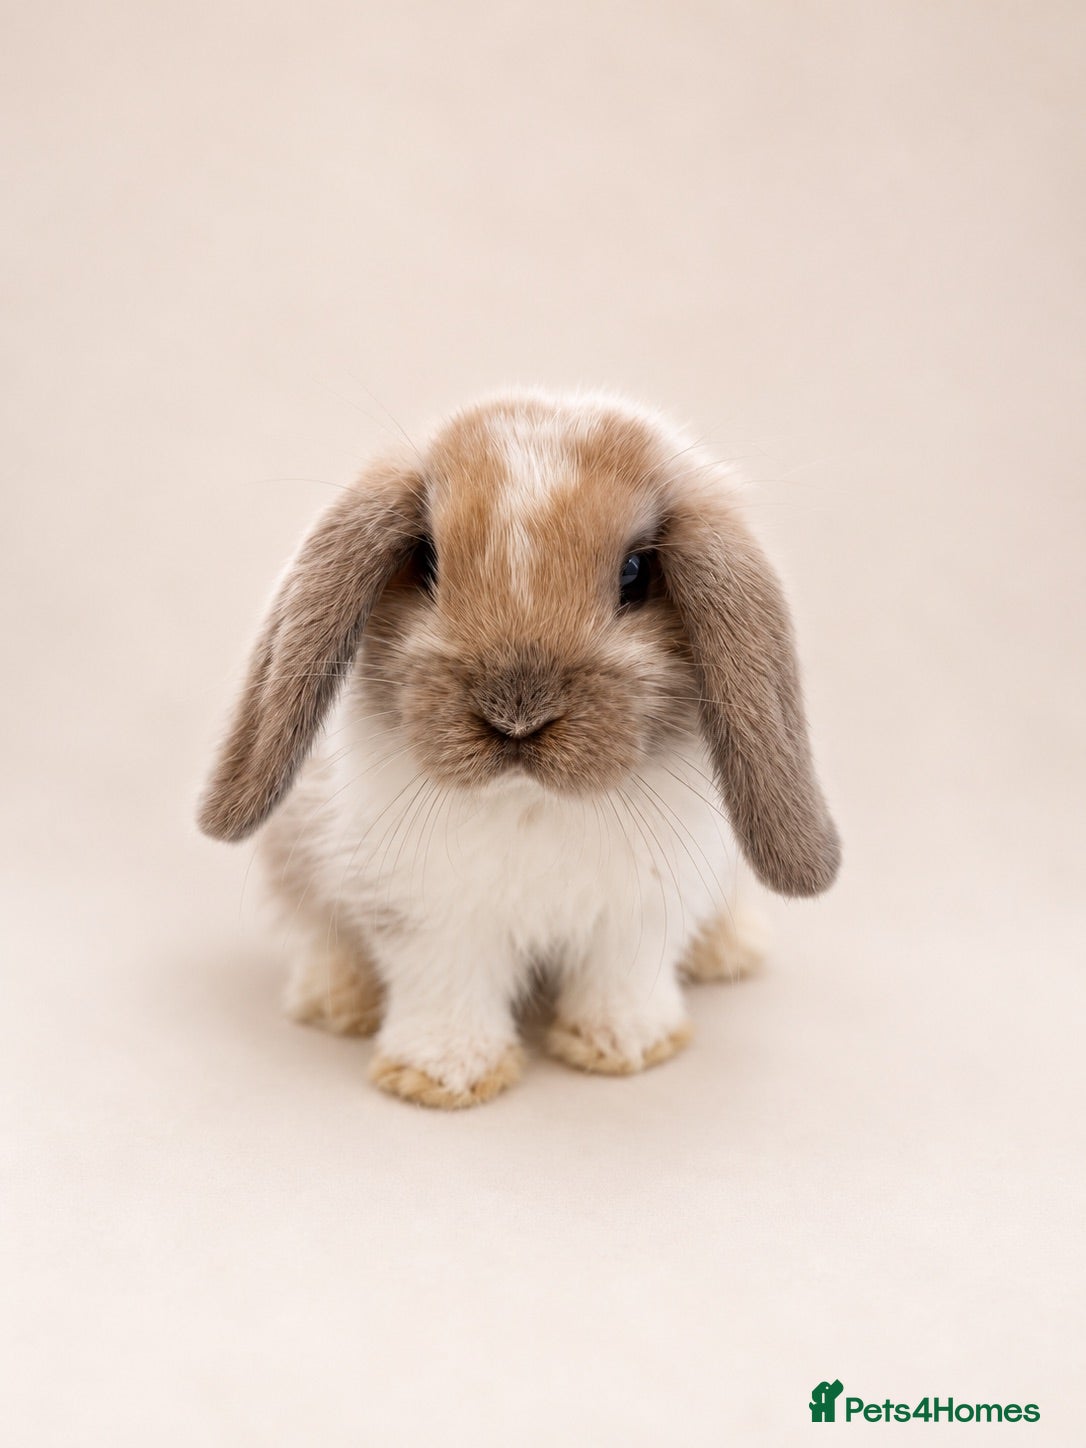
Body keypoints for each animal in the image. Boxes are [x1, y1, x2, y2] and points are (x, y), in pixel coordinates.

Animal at [198, 389, 840, 1108]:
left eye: (635, 573)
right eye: (426, 560)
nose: (516, 715)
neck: (529, 801)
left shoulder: (642, 912)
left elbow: (623, 978)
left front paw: (626, 1047)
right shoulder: (426, 915)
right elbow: (447, 986)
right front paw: (443, 1075)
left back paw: (731, 952)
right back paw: (335, 1002)